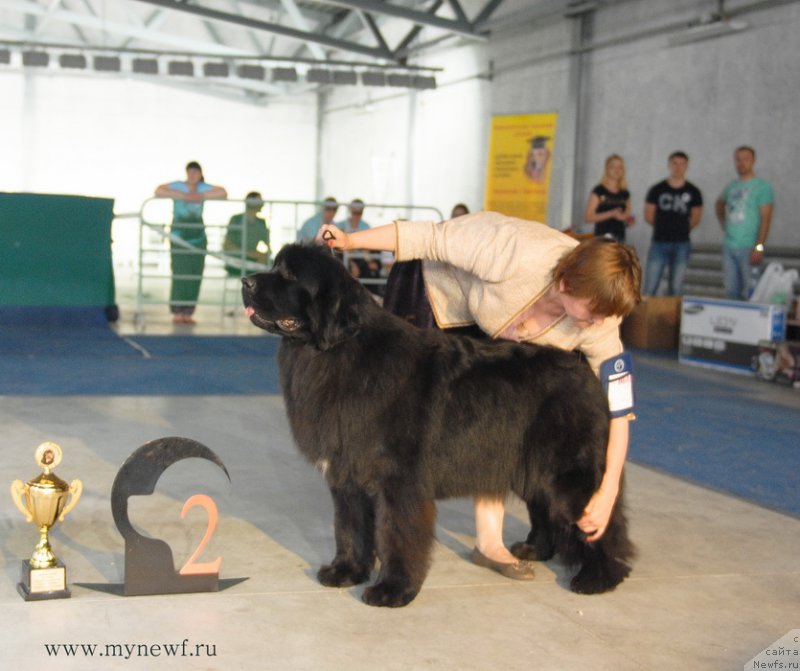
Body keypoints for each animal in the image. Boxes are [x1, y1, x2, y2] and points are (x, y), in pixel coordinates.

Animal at [241, 243, 636, 608]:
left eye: (289, 276)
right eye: (275, 267)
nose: (246, 282)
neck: (337, 352)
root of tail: (582, 367)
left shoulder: (399, 481)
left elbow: (396, 535)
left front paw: (392, 590)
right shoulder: (347, 475)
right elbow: (349, 528)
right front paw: (345, 572)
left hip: (564, 471)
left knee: (601, 518)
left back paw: (599, 576)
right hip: (530, 464)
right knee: (543, 507)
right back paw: (534, 549)